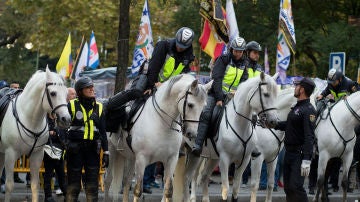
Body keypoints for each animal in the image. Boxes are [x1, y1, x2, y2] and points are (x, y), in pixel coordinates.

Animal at [0, 68, 70, 202]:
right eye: (53, 93)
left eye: (66, 93)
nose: (66, 119)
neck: (29, 118)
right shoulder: (10, 154)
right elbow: (9, 185)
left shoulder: (37, 155)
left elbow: (34, 186)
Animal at [105, 74, 211, 202]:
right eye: (190, 104)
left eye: (203, 106)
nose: (192, 133)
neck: (161, 123)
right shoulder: (141, 159)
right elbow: (137, 191)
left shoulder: (171, 160)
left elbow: (168, 191)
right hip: (112, 151)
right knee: (108, 180)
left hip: (131, 157)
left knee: (126, 181)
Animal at [177, 73, 278, 202]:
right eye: (266, 94)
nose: (273, 121)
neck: (239, 124)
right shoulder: (225, 159)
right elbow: (225, 189)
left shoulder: (244, 161)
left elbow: (235, 189)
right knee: (191, 177)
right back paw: (192, 197)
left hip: (211, 157)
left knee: (201, 176)